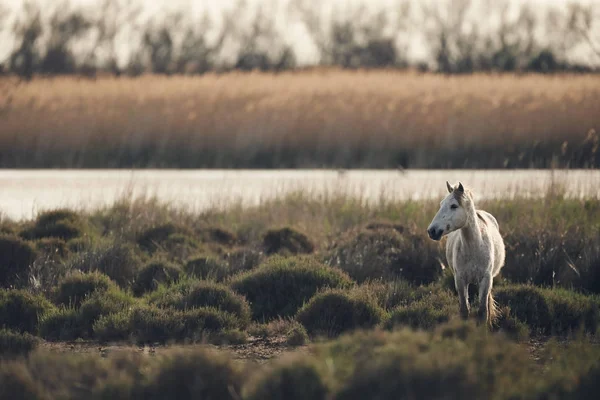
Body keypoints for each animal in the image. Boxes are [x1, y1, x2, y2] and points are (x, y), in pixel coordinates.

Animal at [426, 183, 506, 326]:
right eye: (441, 204)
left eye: (453, 206)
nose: (432, 231)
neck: (474, 248)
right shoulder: (460, 280)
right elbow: (464, 310)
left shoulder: (486, 280)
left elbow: (483, 311)